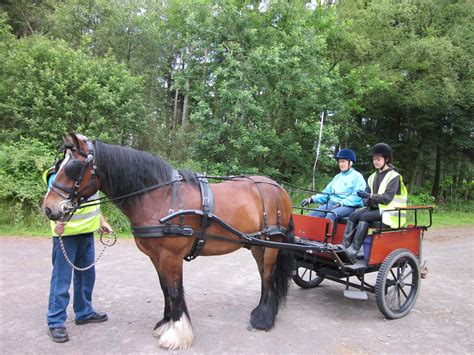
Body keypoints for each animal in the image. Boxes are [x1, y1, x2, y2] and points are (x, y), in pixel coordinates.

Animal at [42, 134, 294, 350]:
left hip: (272, 243)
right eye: (59, 166)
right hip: (258, 246)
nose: (49, 208)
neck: (159, 197)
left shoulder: (171, 256)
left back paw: (262, 318)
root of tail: (279, 188)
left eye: (73, 168)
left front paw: (177, 334)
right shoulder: (156, 256)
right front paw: (165, 324)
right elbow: (164, 288)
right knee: (264, 276)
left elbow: (174, 290)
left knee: (268, 276)